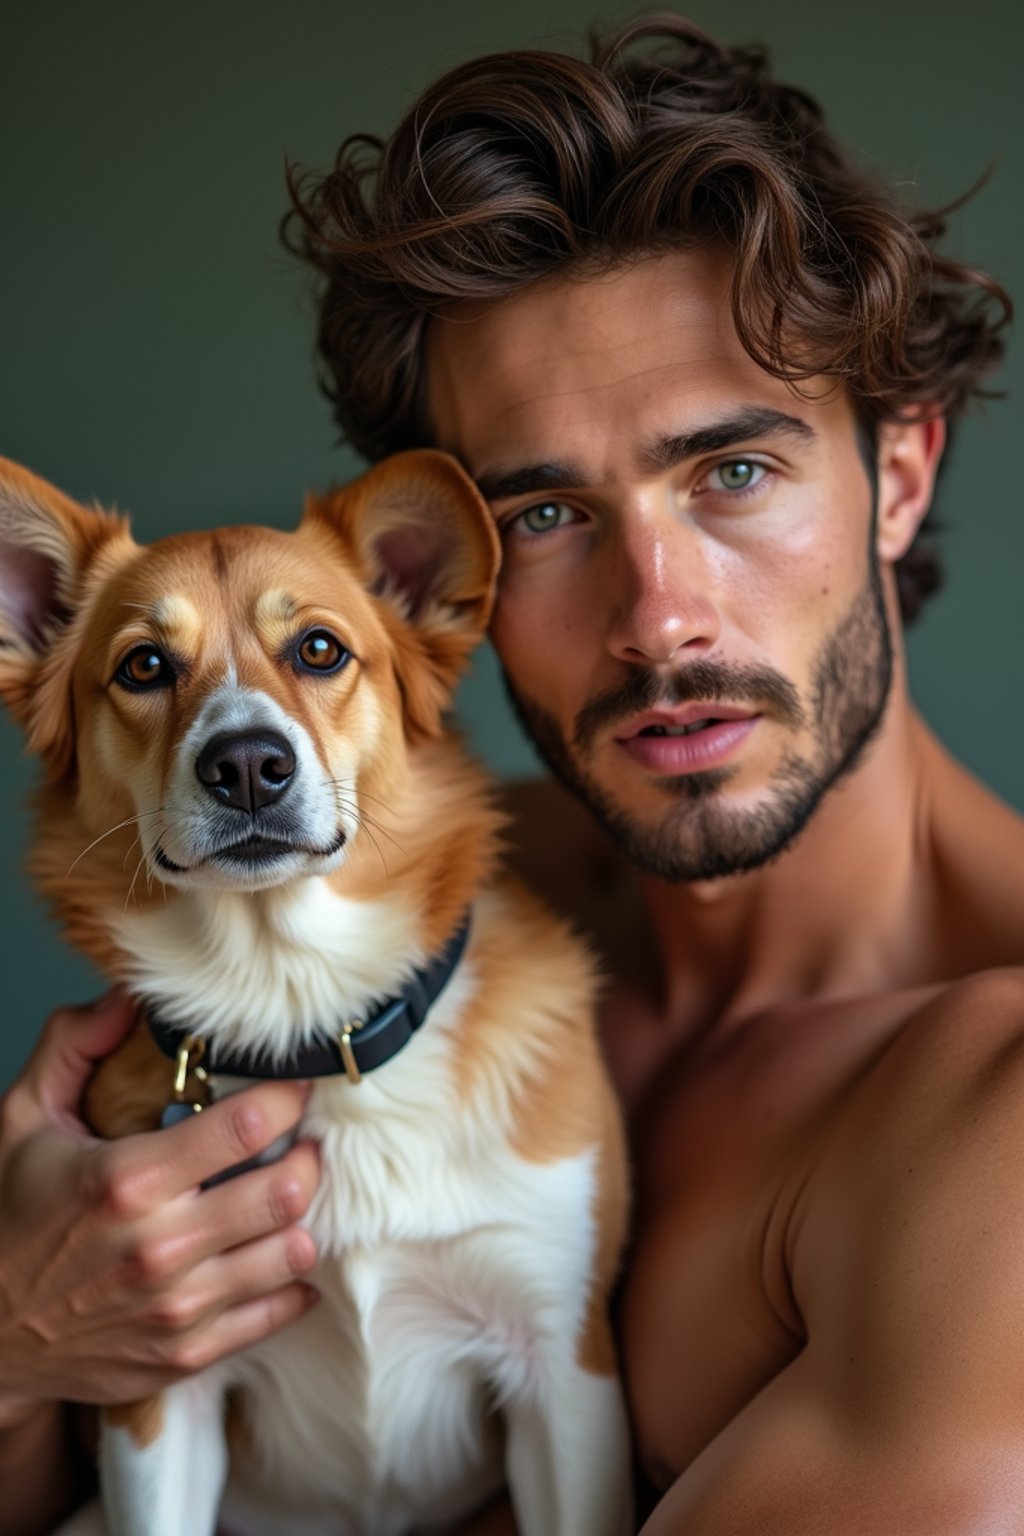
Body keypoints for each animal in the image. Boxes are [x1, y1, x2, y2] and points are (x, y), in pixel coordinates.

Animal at [0, 448, 632, 1536]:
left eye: (320, 650)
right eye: (143, 667)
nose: (248, 765)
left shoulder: (561, 1361)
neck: (299, 1010)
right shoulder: (157, 1389)